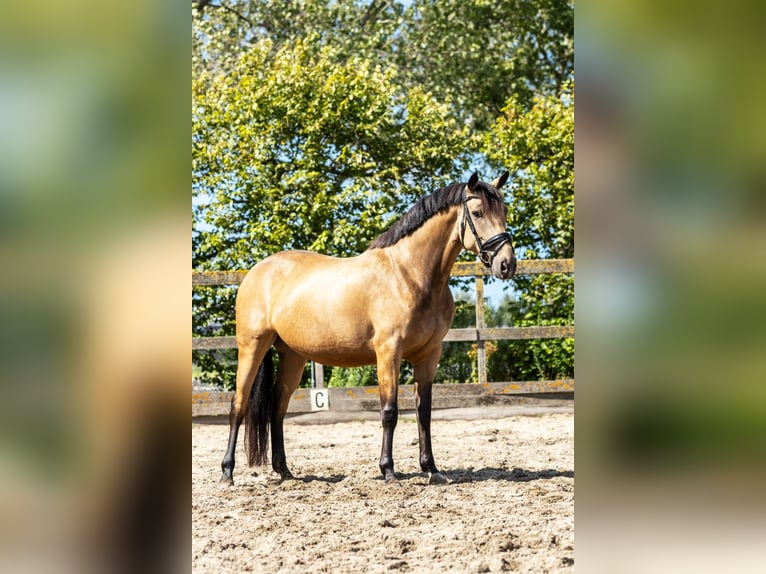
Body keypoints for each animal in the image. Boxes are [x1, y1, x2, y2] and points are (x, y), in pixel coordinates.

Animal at [224, 172, 520, 486]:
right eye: (477, 213)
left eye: (504, 211)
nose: (507, 264)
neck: (409, 275)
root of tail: (257, 271)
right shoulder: (388, 352)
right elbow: (389, 411)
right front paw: (388, 470)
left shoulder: (429, 355)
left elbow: (424, 412)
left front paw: (432, 469)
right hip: (252, 346)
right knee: (239, 404)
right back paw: (227, 473)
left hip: (294, 355)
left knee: (277, 407)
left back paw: (285, 471)